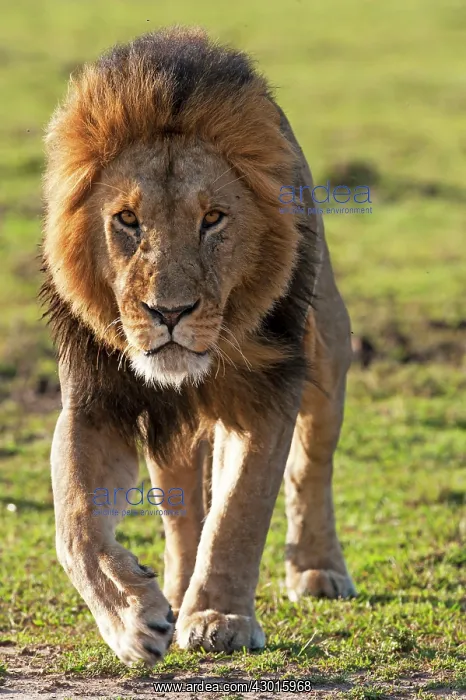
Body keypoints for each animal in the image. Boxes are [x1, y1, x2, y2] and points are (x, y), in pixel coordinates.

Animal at [41, 26, 355, 666]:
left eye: (213, 219)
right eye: (127, 219)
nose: (169, 312)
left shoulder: (265, 393)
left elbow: (239, 510)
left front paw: (220, 618)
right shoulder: (96, 402)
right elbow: (75, 523)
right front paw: (132, 618)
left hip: (329, 349)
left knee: (312, 465)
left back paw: (317, 569)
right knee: (182, 514)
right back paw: (175, 592)